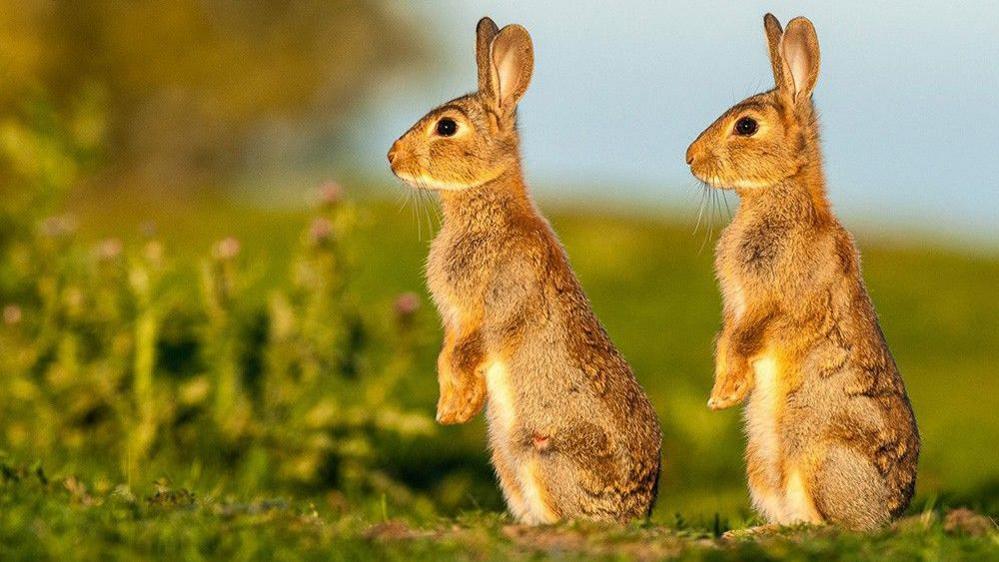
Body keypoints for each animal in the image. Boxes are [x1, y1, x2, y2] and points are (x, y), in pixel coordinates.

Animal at [386, 17, 660, 524]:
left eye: (447, 127)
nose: (392, 158)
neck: (485, 204)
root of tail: (635, 512)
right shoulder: (456, 320)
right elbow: (448, 354)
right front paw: (453, 408)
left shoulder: (498, 301)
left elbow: (468, 350)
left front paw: (453, 411)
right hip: (507, 458)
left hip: (541, 454)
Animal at [688, 13, 920, 528]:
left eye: (746, 126)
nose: (689, 158)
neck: (779, 191)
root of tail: (890, 512)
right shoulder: (735, 307)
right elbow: (724, 338)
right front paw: (724, 394)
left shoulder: (774, 302)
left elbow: (745, 338)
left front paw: (724, 396)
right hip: (762, 463)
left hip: (819, 456)